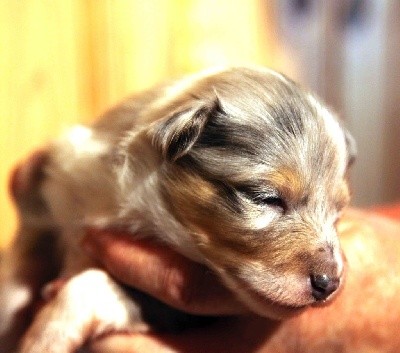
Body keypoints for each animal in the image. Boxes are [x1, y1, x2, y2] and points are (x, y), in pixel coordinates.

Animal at [0, 65, 356, 350]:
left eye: (337, 213)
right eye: (265, 198)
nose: (329, 285)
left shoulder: (174, 311)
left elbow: (87, 286)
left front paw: (43, 339)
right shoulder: (50, 209)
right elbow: (13, 282)